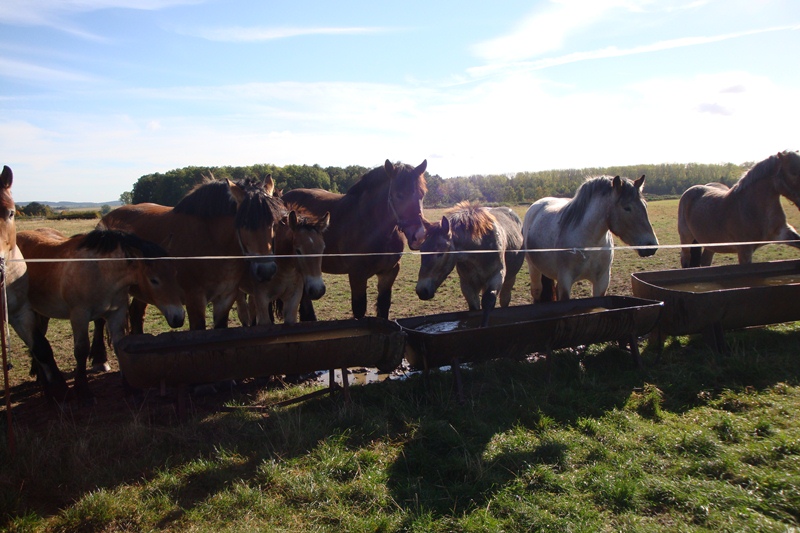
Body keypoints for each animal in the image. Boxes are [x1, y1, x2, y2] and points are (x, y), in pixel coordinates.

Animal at [16, 228, 185, 398]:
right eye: (154, 280)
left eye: (175, 273)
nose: (178, 318)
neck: (101, 271)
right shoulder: (79, 315)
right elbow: (81, 350)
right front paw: (83, 390)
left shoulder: (116, 313)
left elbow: (119, 345)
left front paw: (129, 388)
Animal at [99, 175, 286, 331]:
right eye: (243, 223)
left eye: (275, 222)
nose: (266, 270)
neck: (212, 243)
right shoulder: (194, 301)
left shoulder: (225, 298)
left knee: (136, 314)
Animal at [281, 159, 428, 320]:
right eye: (399, 195)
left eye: (422, 194)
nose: (419, 235)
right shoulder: (357, 275)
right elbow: (359, 310)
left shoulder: (389, 272)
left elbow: (383, 307)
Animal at [523, 175, 658, 302]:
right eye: (627, 208)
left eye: (645, 205)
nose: (651, 245)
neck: (591, 245)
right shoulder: (565, 281)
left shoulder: (602, 281)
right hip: (534, 269)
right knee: (537, 291)